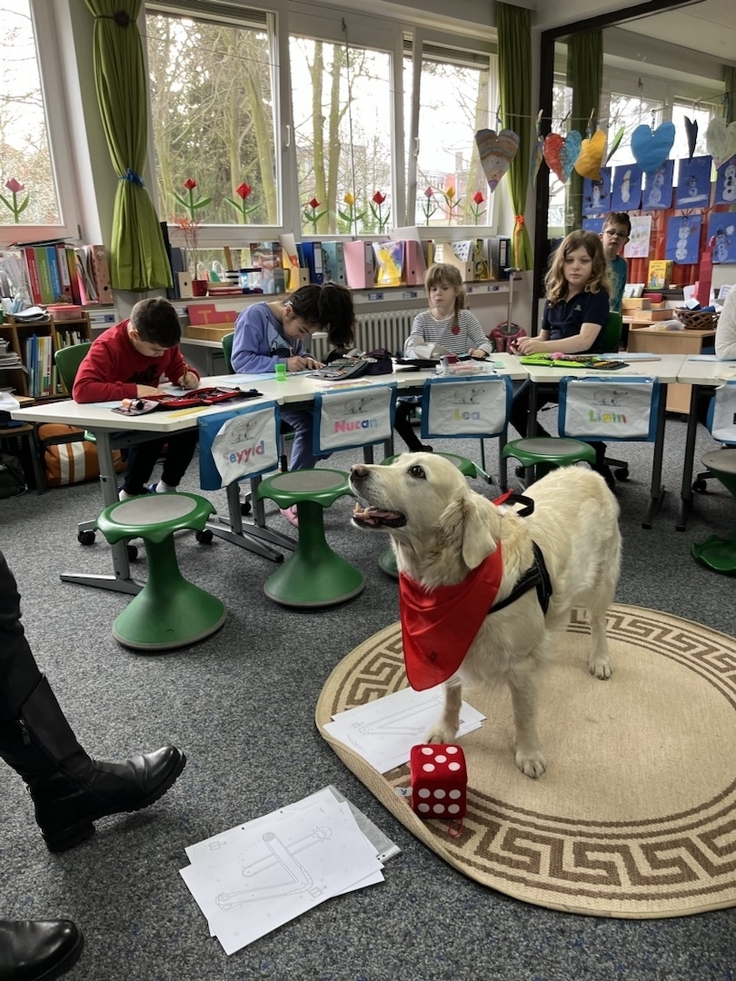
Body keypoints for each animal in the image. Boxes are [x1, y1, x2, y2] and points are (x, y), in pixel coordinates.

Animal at [350, 456, 620, 776]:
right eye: (395, 461)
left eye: (417, 471)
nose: (355, 471)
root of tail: (588, 472)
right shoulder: (447, 648)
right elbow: (451, 697)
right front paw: (445, 731)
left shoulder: (521, 665)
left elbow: (524, 714)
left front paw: (529, 753)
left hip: (602, 577)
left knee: (598, 622)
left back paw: (600, 659)